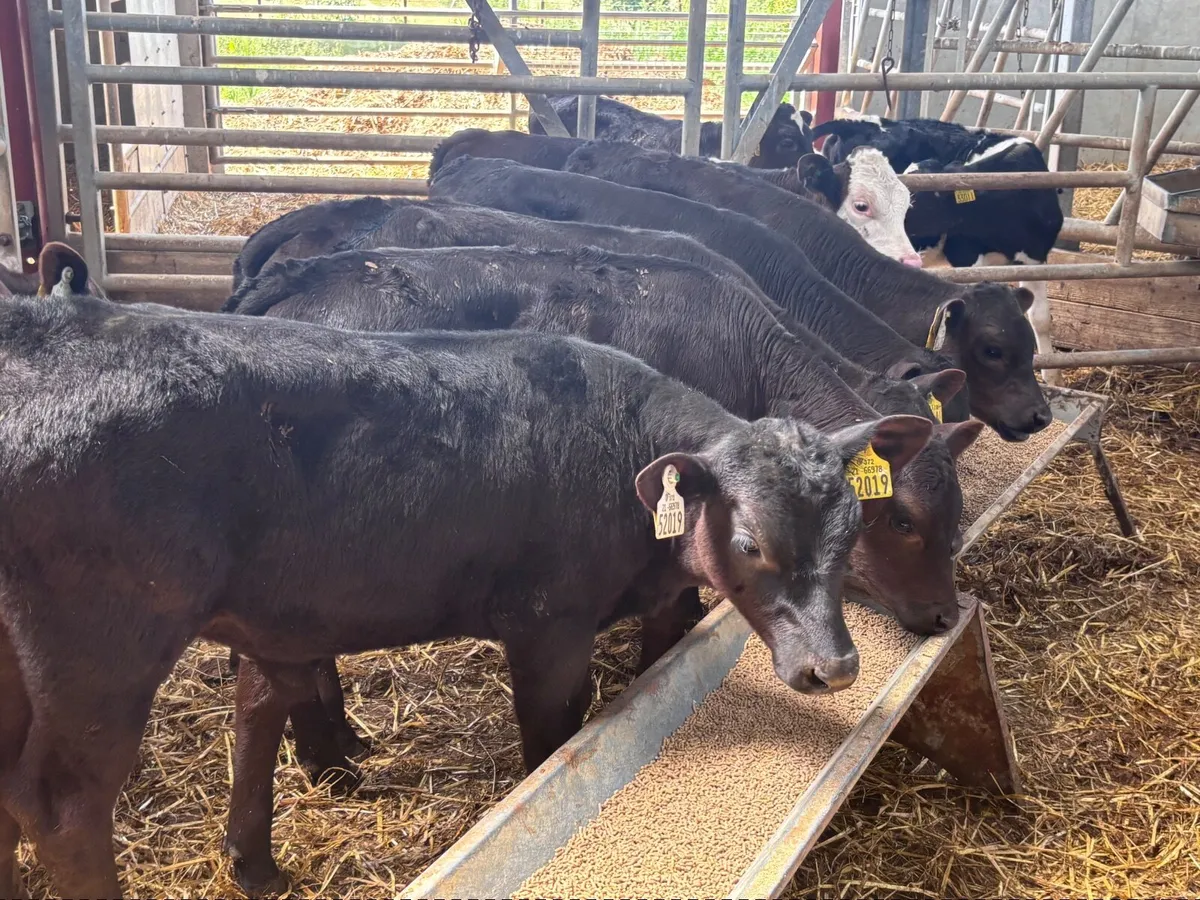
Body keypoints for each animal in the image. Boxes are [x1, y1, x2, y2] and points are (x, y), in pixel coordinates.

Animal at [0, 276, 934, 897]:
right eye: (748, 542)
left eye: (853, 528)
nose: (834, 669)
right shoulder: (549, 627)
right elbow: (551, 739)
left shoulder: (283, 616)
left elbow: (259, 707)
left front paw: (255, 861)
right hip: (105, 645)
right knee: (63, 806)